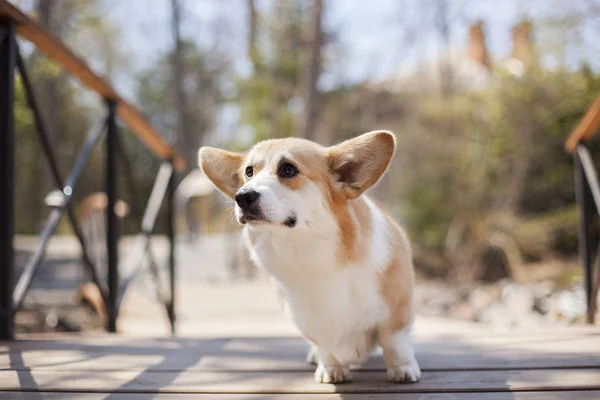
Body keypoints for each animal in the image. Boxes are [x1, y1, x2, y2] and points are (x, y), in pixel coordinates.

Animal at [199, 131, 420, 384]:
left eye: (288, 169)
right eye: (249, 172)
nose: (242, 196)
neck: (306, 250)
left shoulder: (397, 311)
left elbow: (394, 342)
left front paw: (402, 368)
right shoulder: (307, 321)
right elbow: (324, 347)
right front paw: (331, 369)